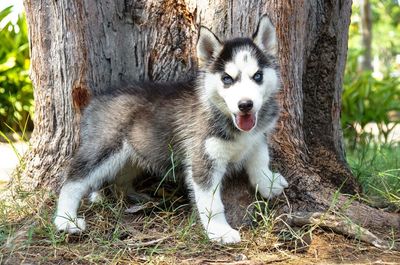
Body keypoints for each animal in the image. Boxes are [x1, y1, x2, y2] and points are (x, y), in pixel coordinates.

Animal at [54, 14, 290, 243]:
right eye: (227, 79)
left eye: (257, 76)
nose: (245, 105)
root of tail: (96, 101)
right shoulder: (203, 160)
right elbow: (212, 203)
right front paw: (219, 231)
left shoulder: (258, 136)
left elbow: (260, 159)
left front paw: (268, 182)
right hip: (104, 148)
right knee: (73, 180)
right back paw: (66, 219)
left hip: (134, 153)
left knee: (119, 180)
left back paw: (135, 196)